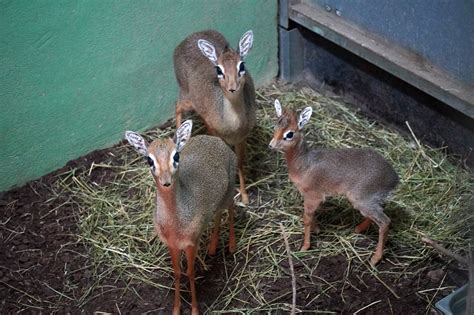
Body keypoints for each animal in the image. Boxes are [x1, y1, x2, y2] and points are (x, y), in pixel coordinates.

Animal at [125, 120, 237, 314]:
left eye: (176, 156)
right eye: (149, 159)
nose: (166, 181)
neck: (175, 224)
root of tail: (216, 140)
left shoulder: (191, 243)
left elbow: (190, 273)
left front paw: (194, 309)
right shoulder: (171, 245)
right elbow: (177, 273)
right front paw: (176, 309)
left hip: (229, 191)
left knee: (231, 206)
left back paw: (231, 245)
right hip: (217, 202)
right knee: (217, 214)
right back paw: (212, 247)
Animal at [173, 29, 256, 205]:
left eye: (242, 65)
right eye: (219, 70)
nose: (232, 87)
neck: (233, 126)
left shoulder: (242, 138)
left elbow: (240, 163)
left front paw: (245, 197)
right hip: (187, 97)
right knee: (177, 106)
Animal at [268, 99, 398, 266]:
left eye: (289, 134)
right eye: (276, 125)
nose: (271, 145)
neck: (303, 164)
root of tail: (394, 178)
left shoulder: (313, 196)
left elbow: (306, 219)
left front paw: (305, 246)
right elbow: (311, 216)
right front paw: (317, 230)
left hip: (363, 200)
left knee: (385, 222)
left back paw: (375, 259)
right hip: (367, 202)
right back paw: (358, 229)